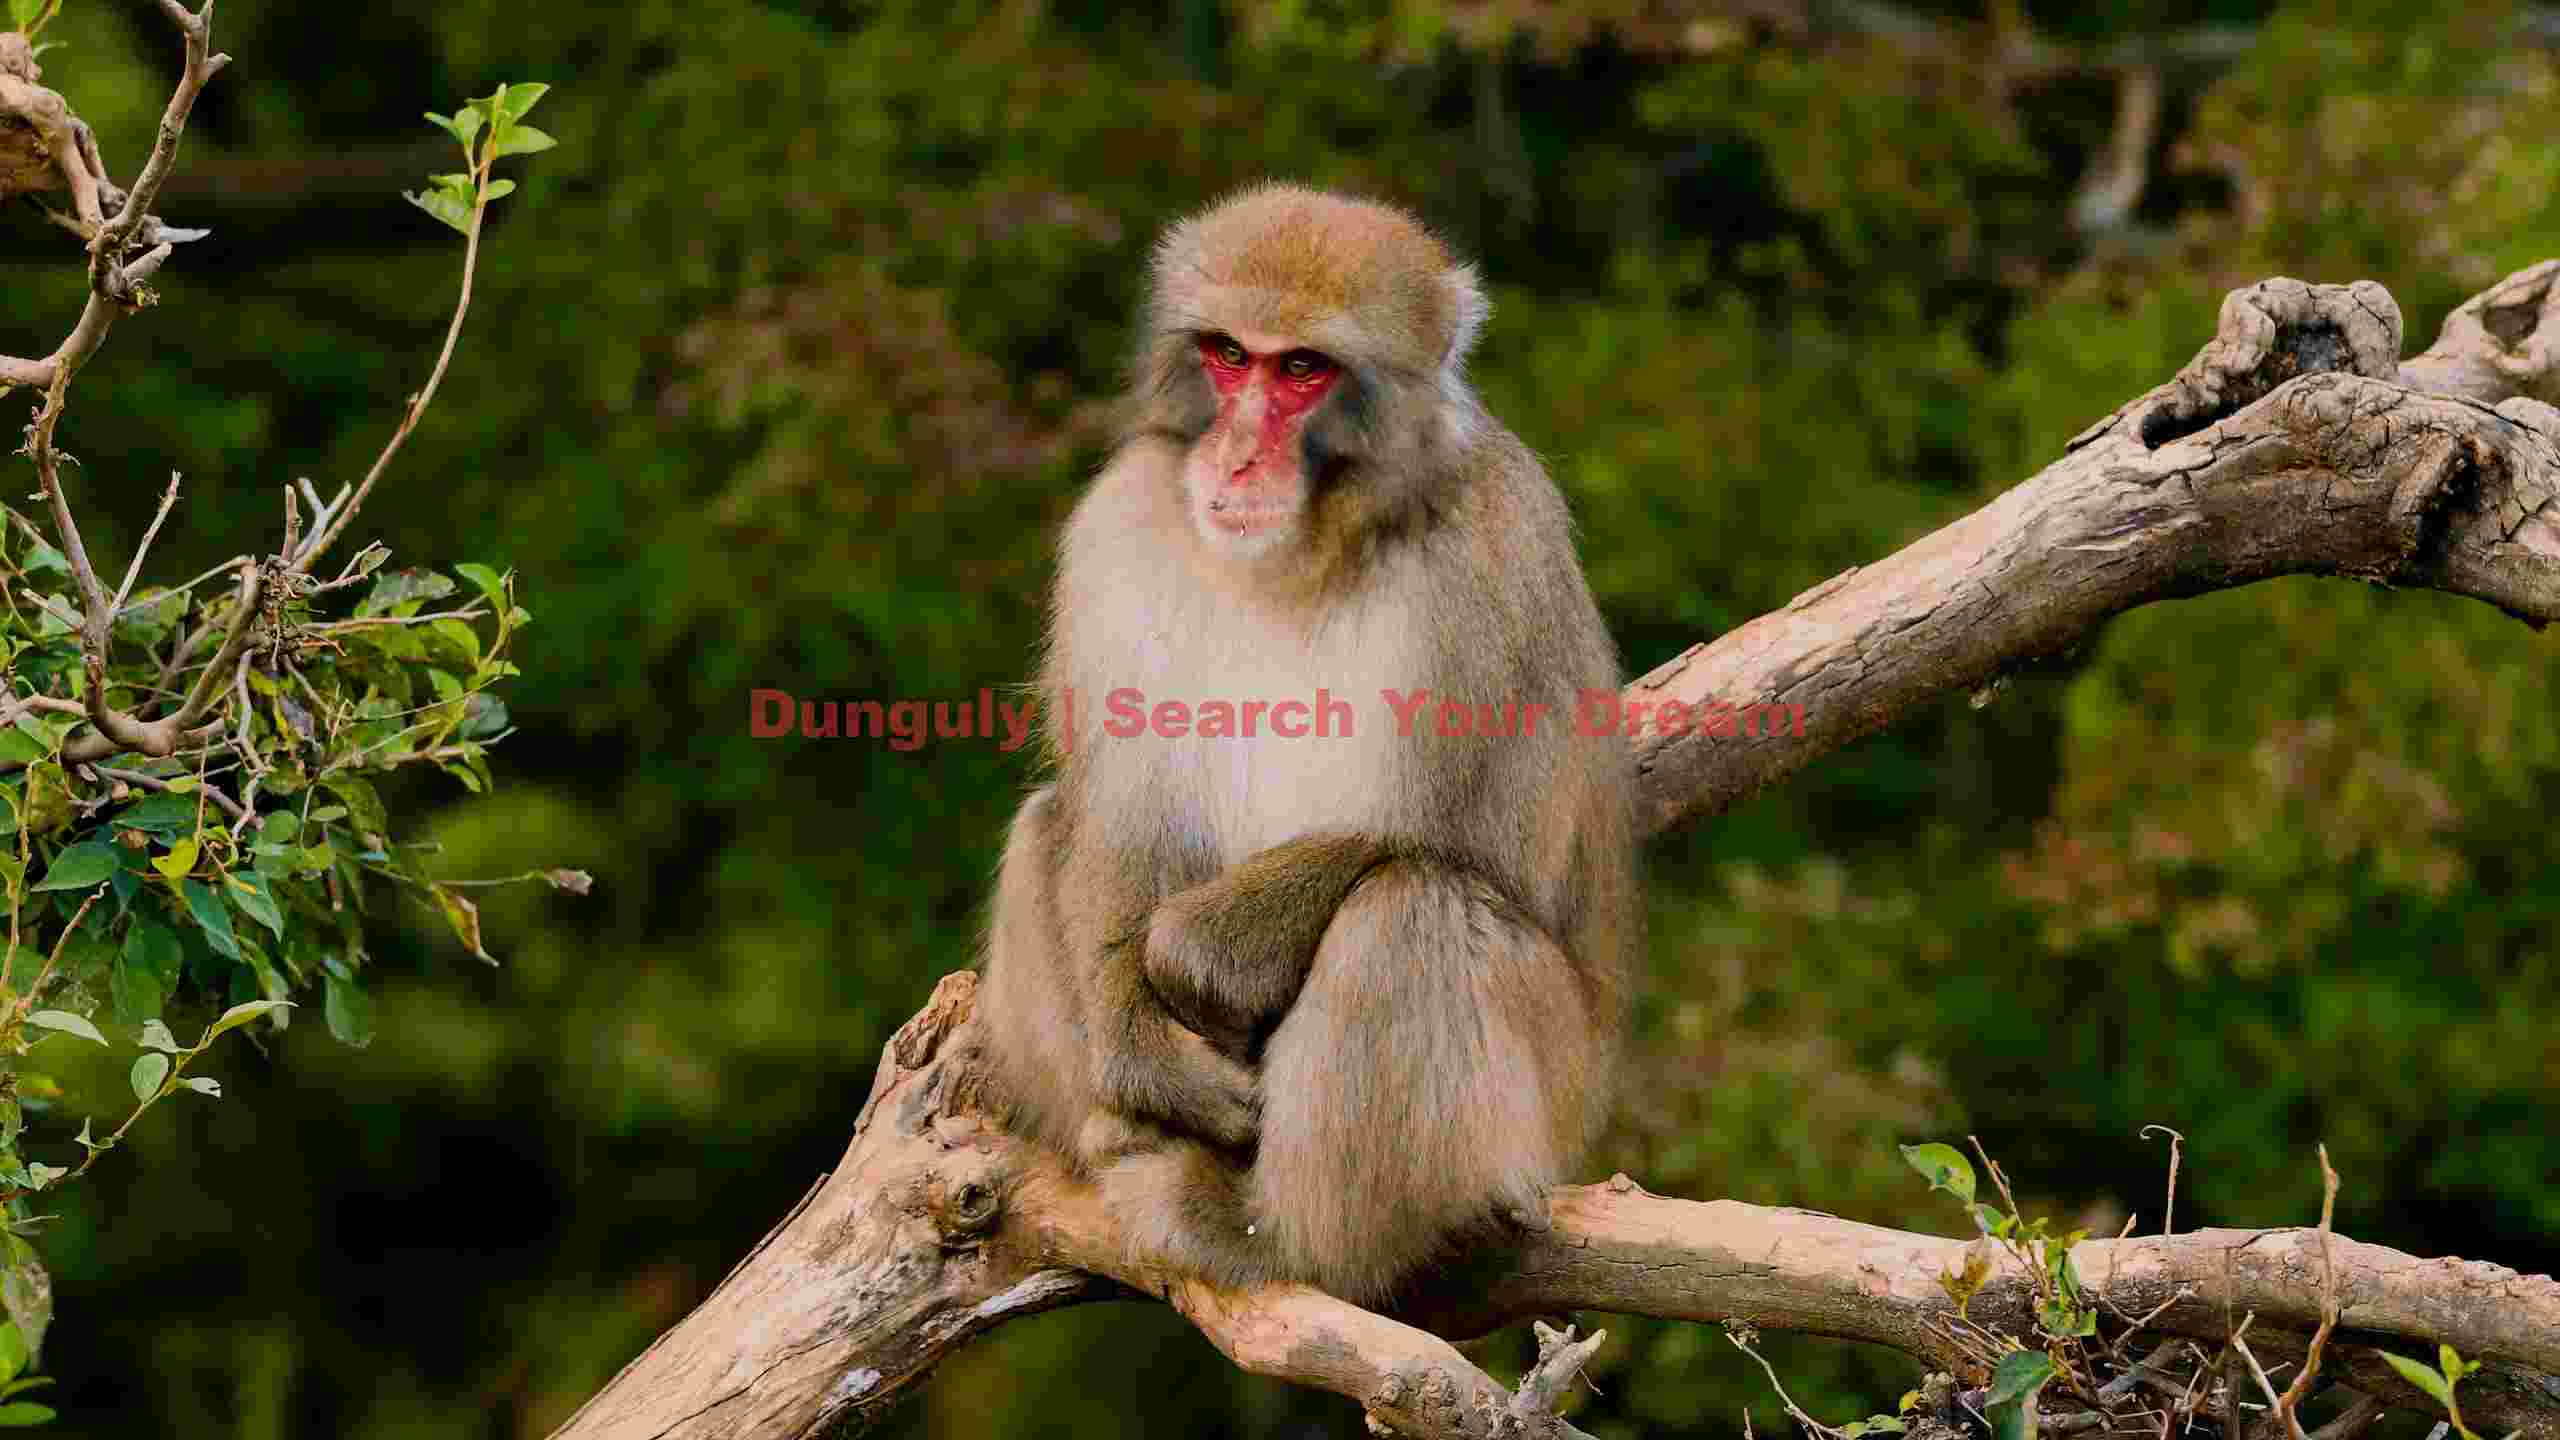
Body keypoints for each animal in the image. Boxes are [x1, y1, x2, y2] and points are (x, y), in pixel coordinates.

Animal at [974, 183, 1638, 1306]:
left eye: (1301, 371)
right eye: (1228, 355)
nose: (1237, 454)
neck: (1300, 550)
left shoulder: (1497, 554)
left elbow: (1478, 846)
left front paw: (1197, 953)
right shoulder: (1121, 525)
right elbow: (1120, 805)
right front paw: (1142, 1045)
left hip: (1551, 1095)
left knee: (1410, 909)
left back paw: (1276, 1243)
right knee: (1043, 825)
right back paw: (1121, 1134)